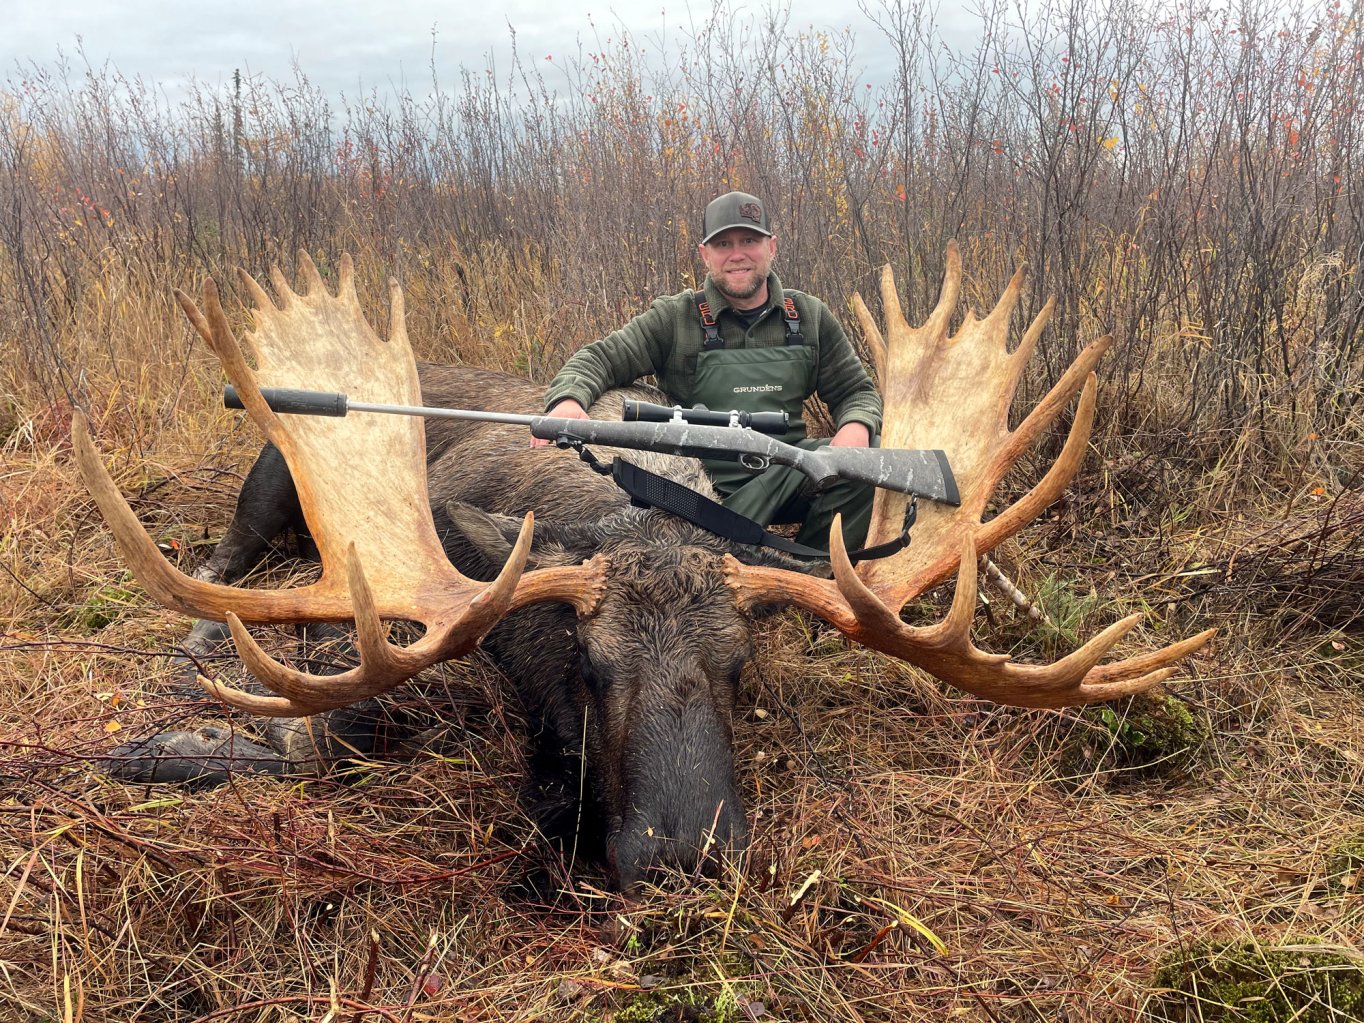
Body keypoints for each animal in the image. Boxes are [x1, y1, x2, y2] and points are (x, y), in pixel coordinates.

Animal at [72, 248, 1213, 888]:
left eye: (739, 670)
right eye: (587, 665)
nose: (682, 859)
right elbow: (326, 740)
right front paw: (164, 744)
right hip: (270, 478)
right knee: (221, 558)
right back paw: (193, 648)